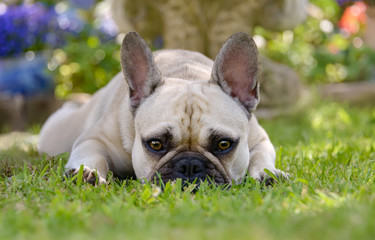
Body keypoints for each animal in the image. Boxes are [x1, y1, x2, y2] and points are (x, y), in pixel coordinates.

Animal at [39, 31, 288, 186]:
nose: (190, 165)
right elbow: (91, 153)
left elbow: (261, 156)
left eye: (224, 144)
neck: (186, 74)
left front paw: (267, 173)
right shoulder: (94, 139)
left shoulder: (260, 139)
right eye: (156, 144)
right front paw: (87, 172)